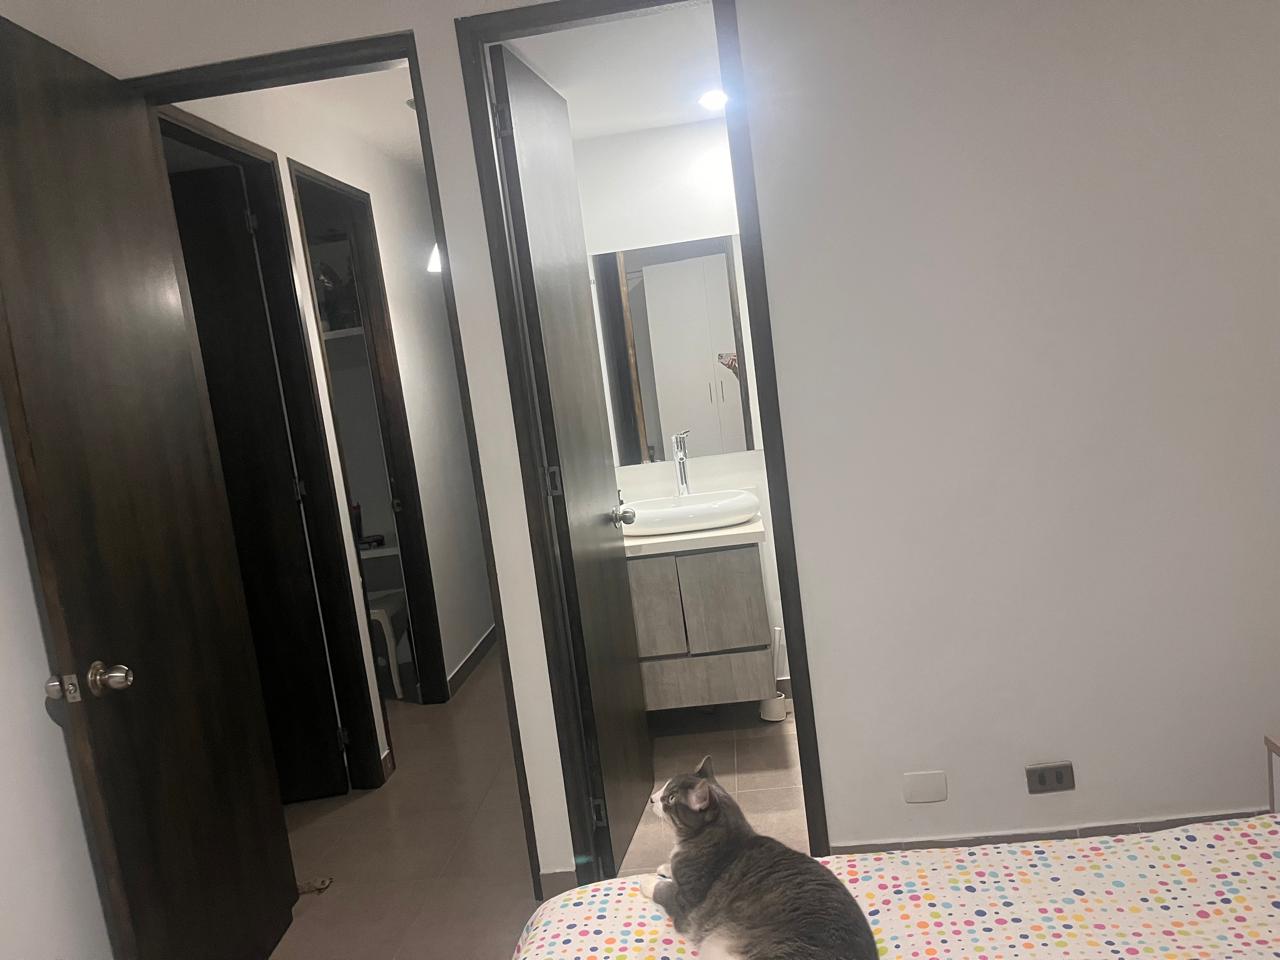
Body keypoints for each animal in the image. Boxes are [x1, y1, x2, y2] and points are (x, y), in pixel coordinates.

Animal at [638, 756, 878, 960]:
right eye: (664, 788)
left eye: (670, 798)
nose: (651, 799)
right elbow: (671, 869)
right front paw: (664, 867)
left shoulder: (686, 903)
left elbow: (663, 890)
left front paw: (648, 881)